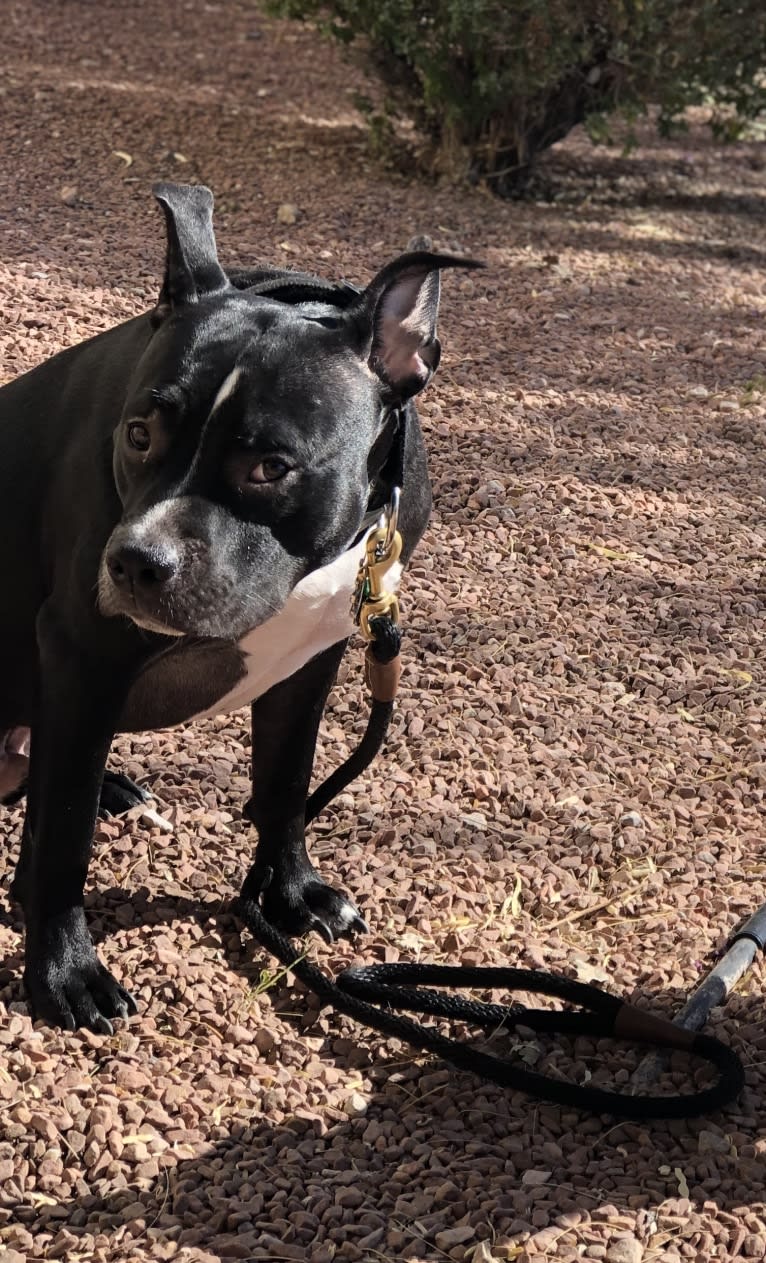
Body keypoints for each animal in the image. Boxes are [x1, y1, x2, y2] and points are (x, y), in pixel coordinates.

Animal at [0, 189, 480, 1035]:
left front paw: (288, 894)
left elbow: (286, 783)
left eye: (271, 466)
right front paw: (64, 972)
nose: (136, 560)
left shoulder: (314, 656)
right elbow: (61, 836)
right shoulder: (82, 652)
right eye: (138, 434)